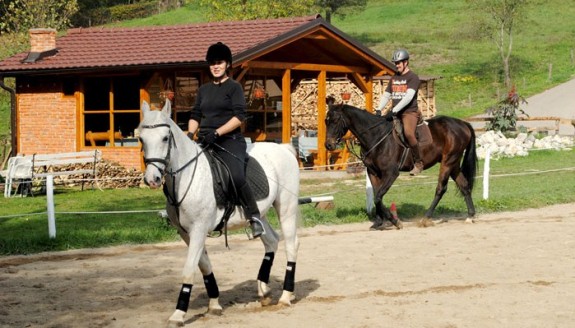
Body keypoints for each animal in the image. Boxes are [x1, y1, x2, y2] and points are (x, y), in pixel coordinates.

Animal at [326, 105, 480, 231]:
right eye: (326, 121)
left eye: (335, 120)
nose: (328, 145)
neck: (377, 136)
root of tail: (463, 124)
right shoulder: (373, 173)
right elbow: (377, 196)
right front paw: (378, 222)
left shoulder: (391, 173)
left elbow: (378, 197)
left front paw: (395, 221)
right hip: (453, 163)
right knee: (464, 185)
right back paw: (470, 215)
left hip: (447, 162)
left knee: (441, 189)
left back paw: (426, 218)